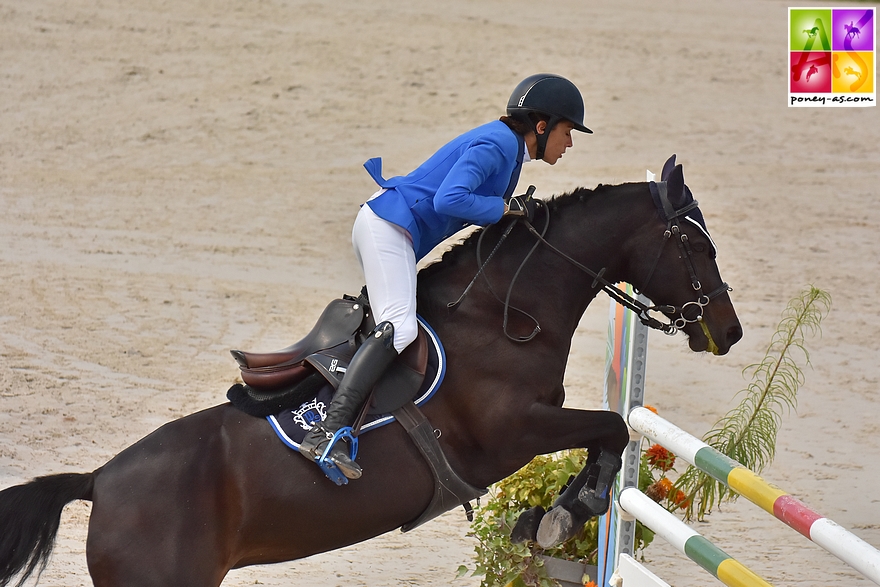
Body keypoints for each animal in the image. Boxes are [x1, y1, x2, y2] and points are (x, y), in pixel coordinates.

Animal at [0, 157, 744, 587]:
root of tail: (99, 481)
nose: (729, 330)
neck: (504, 313)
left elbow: (605, 435)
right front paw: (565, 514)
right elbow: (611, 425)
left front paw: (551, 516)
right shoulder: (513, 432)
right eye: (694, 242)